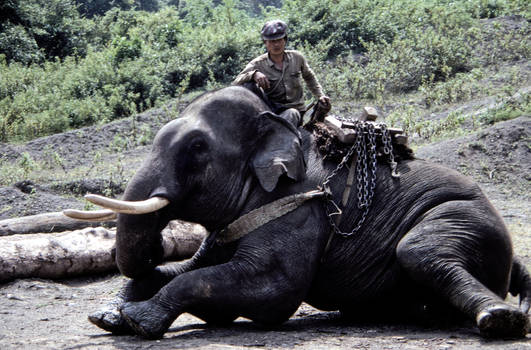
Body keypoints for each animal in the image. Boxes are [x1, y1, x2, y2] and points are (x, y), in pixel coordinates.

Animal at [71, 85, 531, 340]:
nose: (156, 243)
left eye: (198, 148)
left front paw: (138, 322)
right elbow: (188, 274)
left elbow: (274, 292)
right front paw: (107, 317)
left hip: (461, 217)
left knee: (419, 251)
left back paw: (498, 319)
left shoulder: (300, 210)